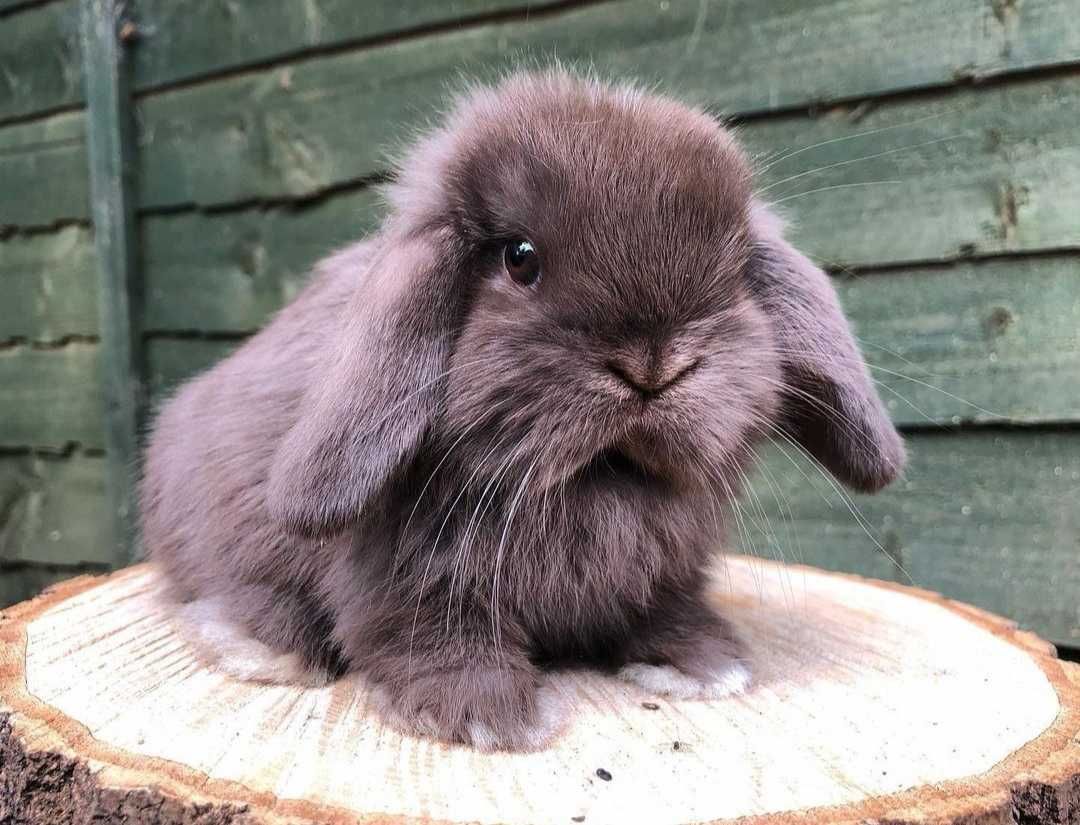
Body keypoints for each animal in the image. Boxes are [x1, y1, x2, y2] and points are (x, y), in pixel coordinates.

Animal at [141, 69, 902, 755]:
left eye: (738, 266)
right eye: (520, 257)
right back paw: (259, 645)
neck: (595, 482)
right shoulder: (408, 585)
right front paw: (492, 716)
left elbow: (666, 610)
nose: (654, 366)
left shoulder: (666, 571)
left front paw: (705, 665)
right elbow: (431, 640)